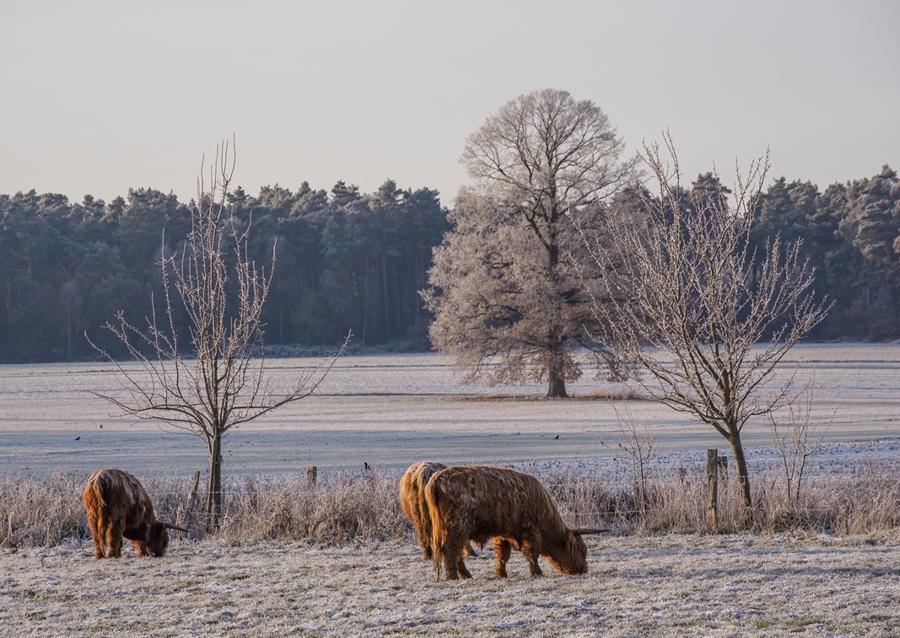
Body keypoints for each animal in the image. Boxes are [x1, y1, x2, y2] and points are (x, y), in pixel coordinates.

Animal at [426, 466, 606, 580]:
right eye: (581, 550)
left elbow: (503, 555)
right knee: (450, 550)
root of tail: (437, 479)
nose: (584, 569)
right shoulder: (531, 531)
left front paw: (500, 574)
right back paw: (454, 577)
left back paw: (466, 575)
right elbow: (532, 553)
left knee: (455, 552)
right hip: (457, 527)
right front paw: (537, 573)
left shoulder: (504, 533)